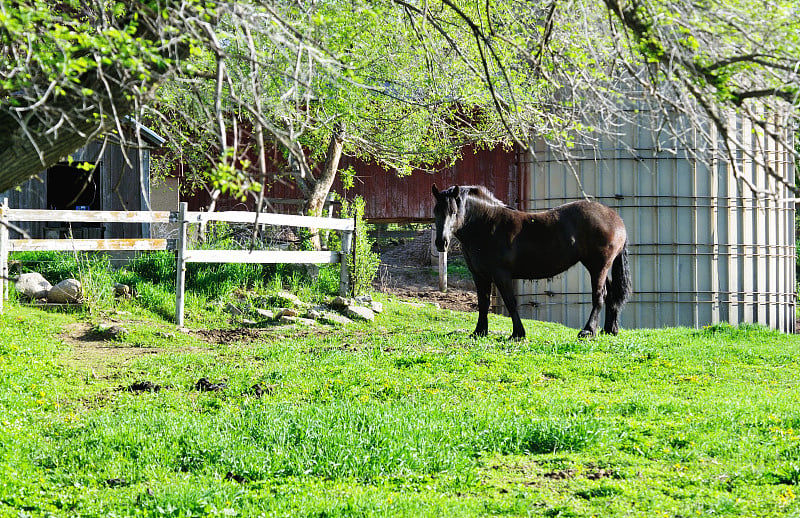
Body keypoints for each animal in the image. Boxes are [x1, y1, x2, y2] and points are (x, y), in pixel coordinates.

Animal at [432, 186, 632, 342]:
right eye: (436, 212)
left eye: (453, 212)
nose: (441, 243)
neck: (487, 225)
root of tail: (616, 219)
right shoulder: (479, 275)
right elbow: (483, 302)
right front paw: (479, 332)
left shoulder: (501, 275)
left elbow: (510, 302)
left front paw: (517, 333)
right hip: (599, 267)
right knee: (611, 294)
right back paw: (609, 330)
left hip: (598, 267)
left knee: (599, 296)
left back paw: (588, 331)